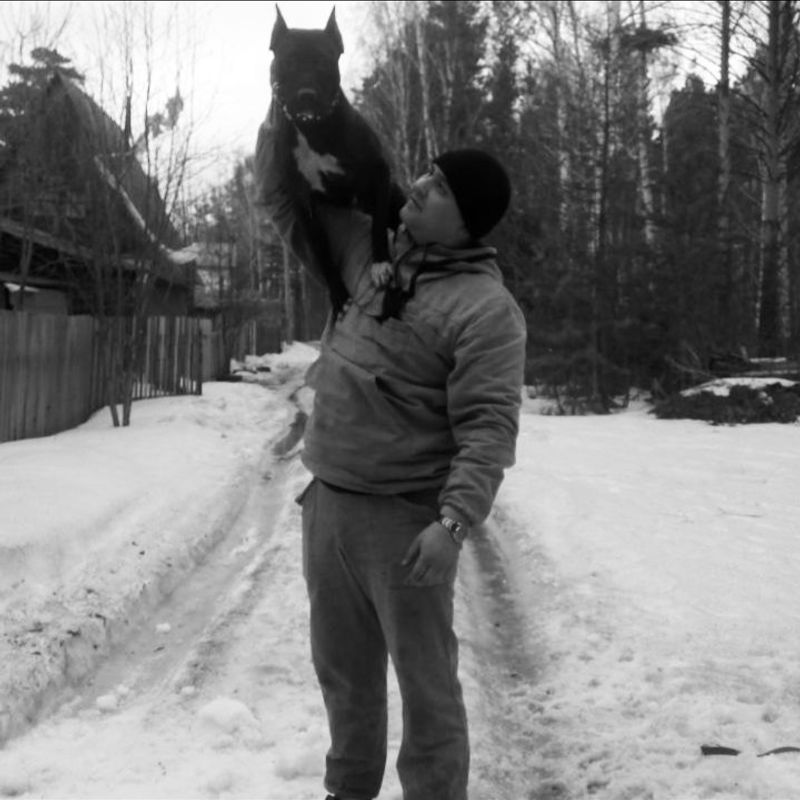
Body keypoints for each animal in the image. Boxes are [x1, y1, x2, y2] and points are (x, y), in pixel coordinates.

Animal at [268, 5, 406, 316]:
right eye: (288, 61)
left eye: (323, 62)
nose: (306, 95)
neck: (312, 129)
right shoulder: (303, 204)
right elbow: (322, 253)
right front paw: (338, 294)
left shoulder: (379, 172)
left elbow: (378, 225)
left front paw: (380, 264)